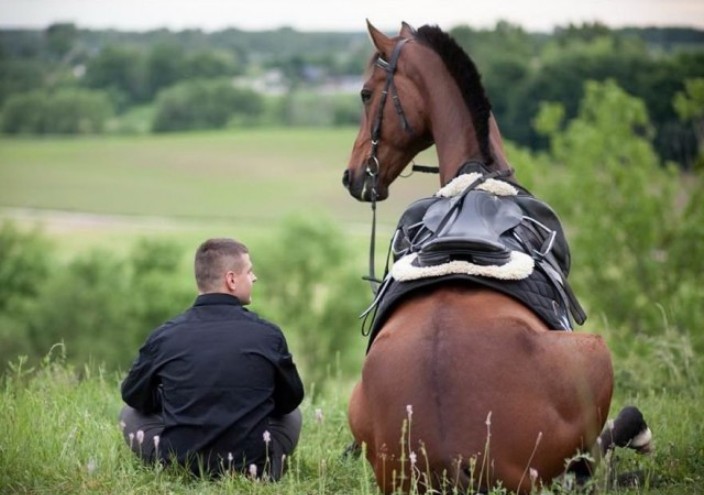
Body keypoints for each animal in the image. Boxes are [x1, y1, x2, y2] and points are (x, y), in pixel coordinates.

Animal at [340, 21, 648, 494]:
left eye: (365, 93)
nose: (352, 176)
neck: (477, 174)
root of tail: (453, 455)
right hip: (595, 356)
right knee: (598, 456)